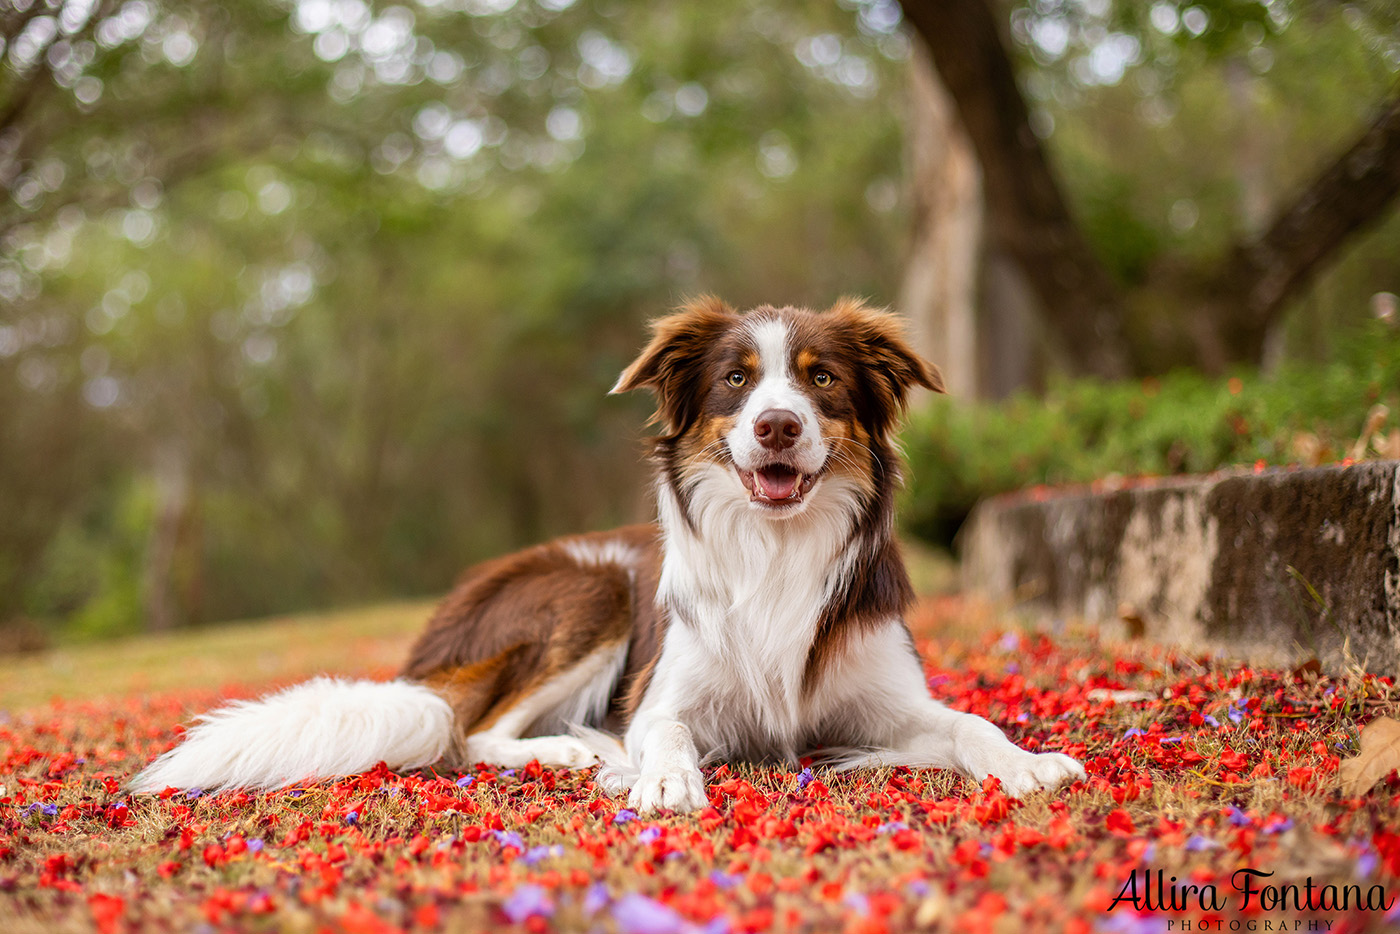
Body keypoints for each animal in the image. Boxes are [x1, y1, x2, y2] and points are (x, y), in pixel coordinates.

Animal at [131, 298, 1086, 812]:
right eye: (736, 380)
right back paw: (562, 750)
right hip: (590, 594)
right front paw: (664, 780)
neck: (773, 549)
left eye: (821, 379)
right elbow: (663, 731)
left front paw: (1024, 761)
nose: (778, 426)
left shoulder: (886, 697)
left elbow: (967, 722)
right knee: (467, 731)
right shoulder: (660, 692)